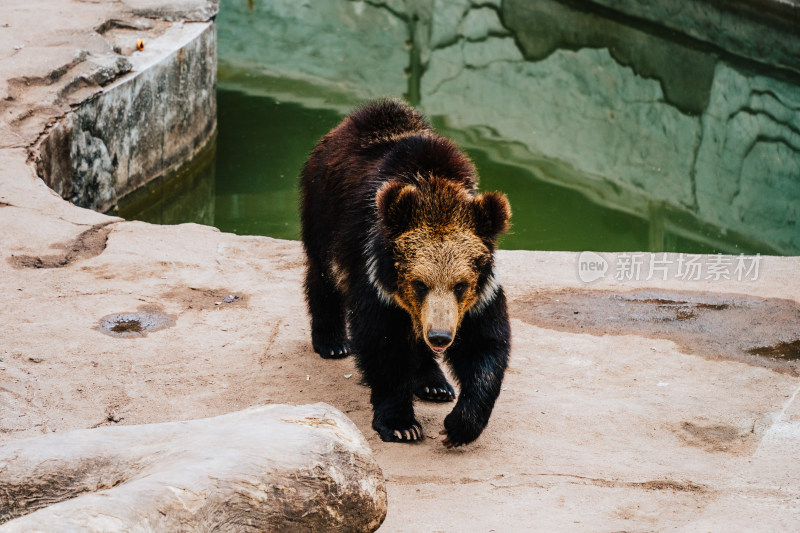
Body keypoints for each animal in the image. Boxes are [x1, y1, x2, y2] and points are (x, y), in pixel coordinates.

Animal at [300, 98, 512, 444]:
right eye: (419, 283)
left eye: (460, 285)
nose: (440, 336)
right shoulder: (375, 279)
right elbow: (383, 344)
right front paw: (401, 424)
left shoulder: (480, 296)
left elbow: (485, 347)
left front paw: (461, 424)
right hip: (322, 210)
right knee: (322, 273)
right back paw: (332, 341)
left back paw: (434, 383)